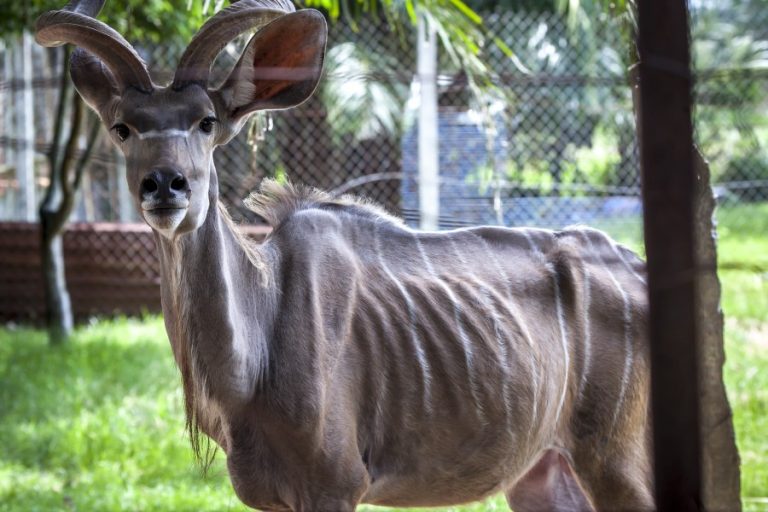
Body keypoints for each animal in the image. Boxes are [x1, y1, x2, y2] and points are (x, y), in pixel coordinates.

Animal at [34, 2, 648, 510]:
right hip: (542, 472)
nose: (165, 185)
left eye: (207, 122)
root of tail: (640, 270)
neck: (257, 343)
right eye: (122, 128)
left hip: (616, 463)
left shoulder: (334, 484)